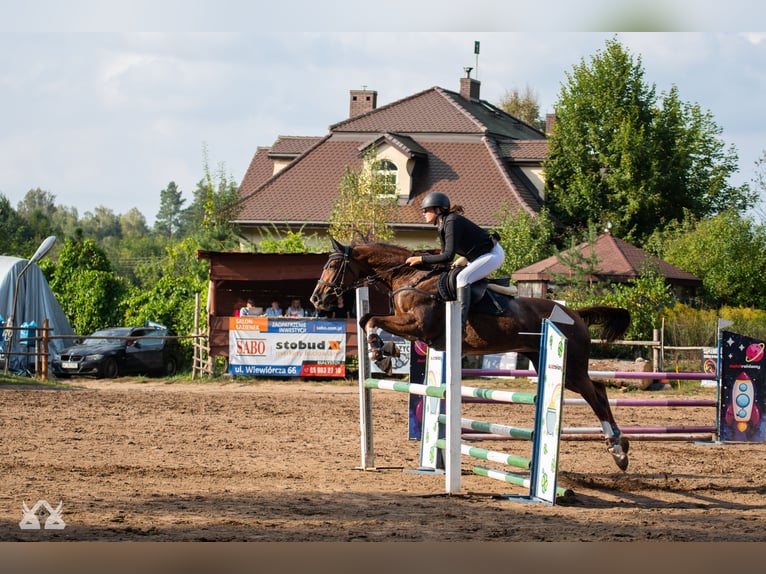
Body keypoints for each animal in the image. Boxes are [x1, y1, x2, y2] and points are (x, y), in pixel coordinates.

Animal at [312, 238, 636, 472]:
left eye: (333, 266)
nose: (317, 299)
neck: (411, 277)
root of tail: (576, 314)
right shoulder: (414, 330)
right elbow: (369, 320)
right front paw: (385, 352)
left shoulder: (417, 325)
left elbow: (370, 320)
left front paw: (379, 354)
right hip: (548, 362)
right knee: (599, 389)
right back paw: (620, 448)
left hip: (572, 368)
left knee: (596, 395)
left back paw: (618, 451)